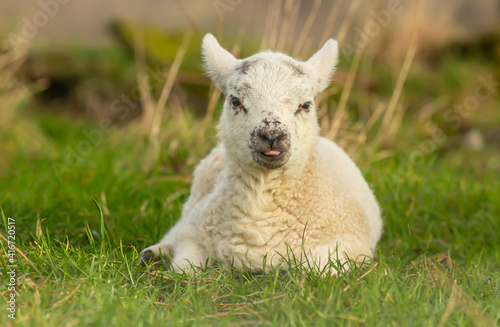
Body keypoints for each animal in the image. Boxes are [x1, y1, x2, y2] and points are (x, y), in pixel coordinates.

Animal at [141, 34, 382, 274]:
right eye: (235, 101)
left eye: (305, 105)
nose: (271, 135)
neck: (261, 204)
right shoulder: (195, 231)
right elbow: (185, 268)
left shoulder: (348, 244)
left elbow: (317, 268)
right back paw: (153, 253)